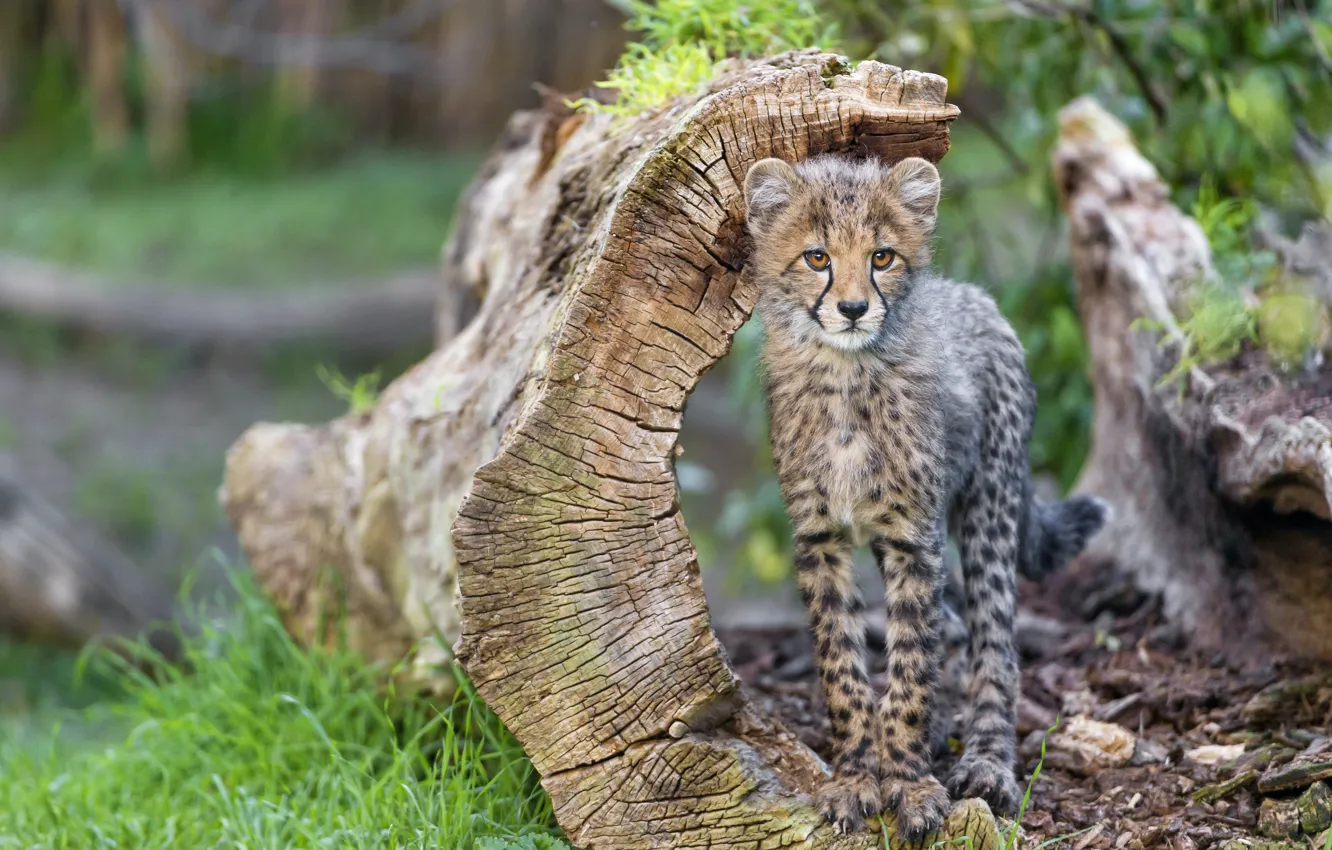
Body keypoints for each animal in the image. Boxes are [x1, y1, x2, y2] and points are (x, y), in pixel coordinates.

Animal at [741, 152, 1108, 839]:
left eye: (882, 256)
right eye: (816, 257)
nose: (853, 308)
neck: (846, 379)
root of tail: (973, 295)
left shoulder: (914, 537)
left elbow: (910, 667)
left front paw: (910, 786)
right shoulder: (822, 537)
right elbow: (842, 667)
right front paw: (857, 777)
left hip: (989, 506)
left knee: (994, 642)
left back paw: (988, 764)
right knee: (957, 629)